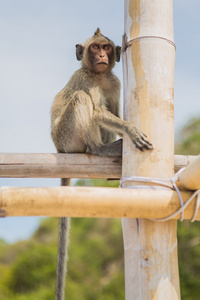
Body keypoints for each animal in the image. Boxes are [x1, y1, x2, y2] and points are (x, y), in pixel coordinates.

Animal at [50, 28, 152, 300]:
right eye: (95, 48)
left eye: (105, 47)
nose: (103, 56)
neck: (99, 75)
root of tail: (57, 148)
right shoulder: (86, 78)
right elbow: (96, 111)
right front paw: (130, 129)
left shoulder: (114, 82)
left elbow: (113, 112)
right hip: (66, 137)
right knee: (81, 99)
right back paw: (99, 149)